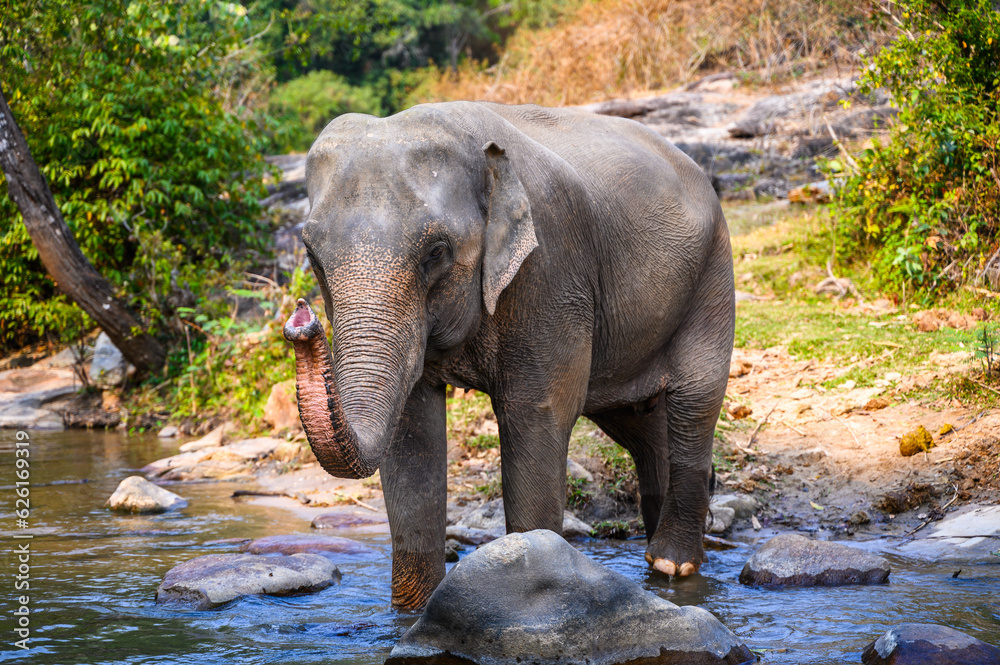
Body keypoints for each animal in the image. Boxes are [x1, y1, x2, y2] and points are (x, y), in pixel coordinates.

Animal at [282, 101, 735, 609]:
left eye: (436, 252)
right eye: (312, 254)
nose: (301, 318)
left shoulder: (550, 272)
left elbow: (537, 415)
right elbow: (412, 435)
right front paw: (413, 612)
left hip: (713, 275)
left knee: (695, 402)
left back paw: (673, 564)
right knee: (638, 423)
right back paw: (660, 563)